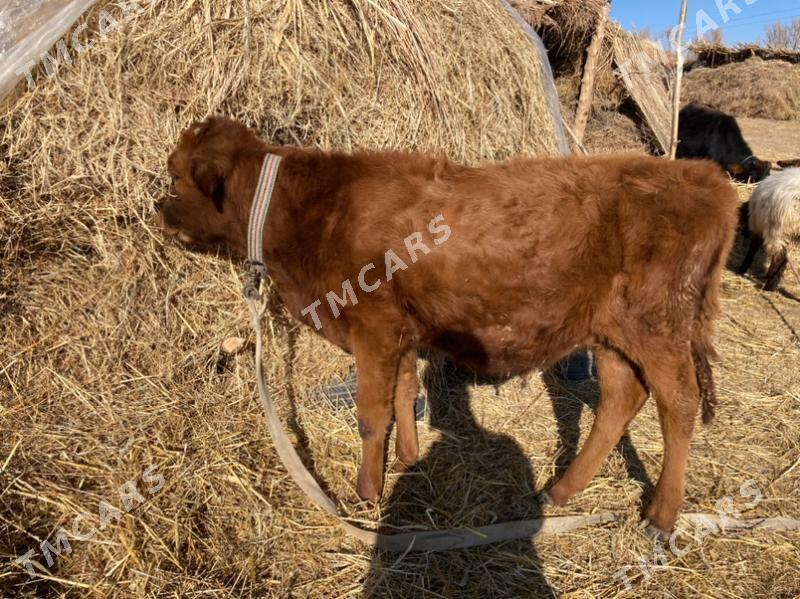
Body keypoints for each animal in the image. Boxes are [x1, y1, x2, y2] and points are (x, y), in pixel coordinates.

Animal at [159, 116, 740, 536]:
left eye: (175, 175)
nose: (159, 211)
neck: (313, 210)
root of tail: (705, 178)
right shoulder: (399, 332)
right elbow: (403, 392)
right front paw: (407, 462)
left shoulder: (373, 327)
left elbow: (371, 414)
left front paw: (366, 492)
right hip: (611, 335)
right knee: (621, 400)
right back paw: (560, 491)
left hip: (658, 328)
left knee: (678, 404)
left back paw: (661, 516)